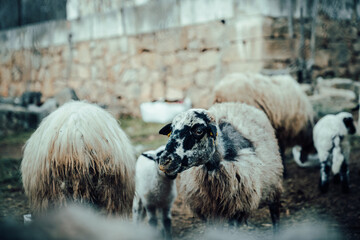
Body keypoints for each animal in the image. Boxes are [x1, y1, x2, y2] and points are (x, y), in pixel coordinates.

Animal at [158, 102, 284, 230]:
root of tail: (237, 103)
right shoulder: (208, 211)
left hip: (274, 184)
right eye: (172, 130)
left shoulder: (237, 210)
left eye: (199, 131)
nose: (164, 161)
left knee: (275, 212)